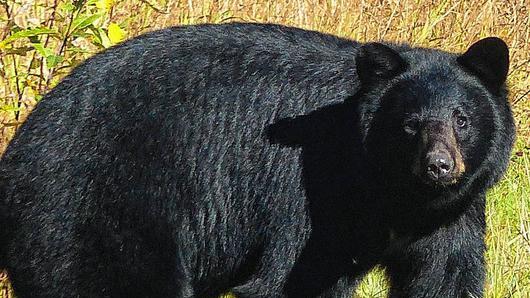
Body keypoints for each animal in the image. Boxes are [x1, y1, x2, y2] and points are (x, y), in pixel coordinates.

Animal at [0, 23, 512, 298]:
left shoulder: (453, 213)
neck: (395, 193)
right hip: (96, 213)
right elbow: (293, 276)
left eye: (462, 120)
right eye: (409, 124)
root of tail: (17, 153)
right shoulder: (314, 192)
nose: (438, 165)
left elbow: (445, 275)